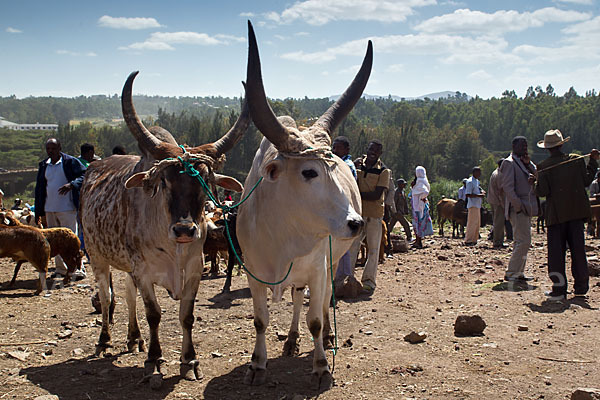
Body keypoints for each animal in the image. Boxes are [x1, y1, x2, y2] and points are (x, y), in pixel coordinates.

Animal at [79, 72, 248, 384]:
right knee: (107, 298)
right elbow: (154, 314)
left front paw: (189, 360)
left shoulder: (193, 270)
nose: (184, 230)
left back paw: (134, 338)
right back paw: (105, 340)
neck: (174, 251)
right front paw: (155, 360)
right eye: (165, 182)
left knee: (127, 296)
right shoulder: (144, 272)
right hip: (97, 255)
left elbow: (187, 316)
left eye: (204, 183)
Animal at [238, 22, 370, 390]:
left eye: (335, 167)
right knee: (297, 297)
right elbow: (260, 319)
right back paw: (292, 339)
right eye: (308, 171)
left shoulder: (318, 268)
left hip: (331, 261)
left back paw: (325, 337)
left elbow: (315, 318)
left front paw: (321, 365)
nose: (356, 223)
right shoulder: (253, 272)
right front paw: (257, 364)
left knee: (320, 302)